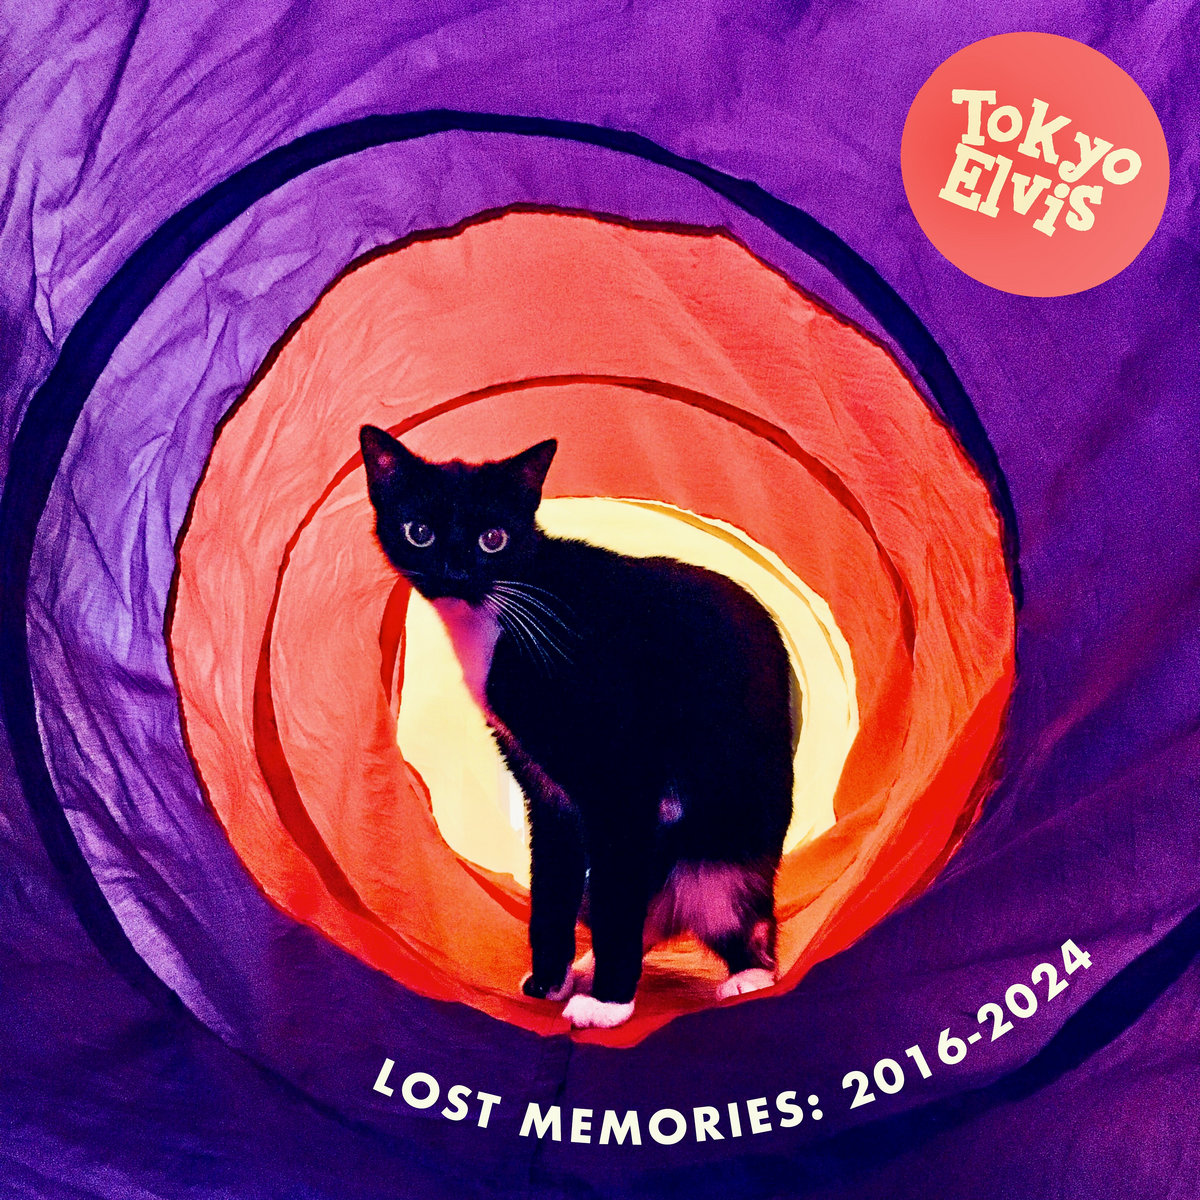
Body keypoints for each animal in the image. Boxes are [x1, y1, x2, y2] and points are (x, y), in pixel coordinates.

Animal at [361, 426, 795, 1029]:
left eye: (493, 539)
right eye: (419, 532)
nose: (456, 571)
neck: (497, 614)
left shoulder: (623, 780)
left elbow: (615, 893)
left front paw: (610, 1004)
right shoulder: (544, 786)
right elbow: (553, 875)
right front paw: (550, 980)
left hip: (722, 844)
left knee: (731, 906)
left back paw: (749, 974)